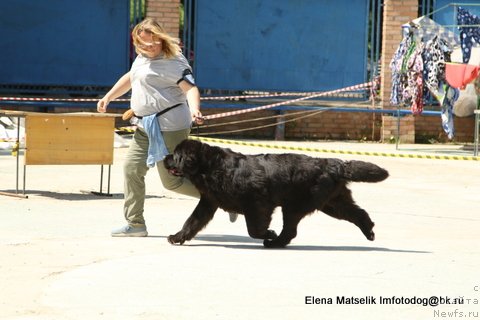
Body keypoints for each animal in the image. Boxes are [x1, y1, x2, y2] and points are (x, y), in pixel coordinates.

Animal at [163, 139, 388, 248]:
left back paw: (273, 242)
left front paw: (268, 233)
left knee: (290, 231)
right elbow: (192, 222)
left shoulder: (257, 204)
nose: (165, 157)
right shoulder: (208, 202)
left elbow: (254, 229)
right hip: (333, 203)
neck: (209, 167)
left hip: (296, 205)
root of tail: (332, 163)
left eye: (176, 155)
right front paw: (177, 237)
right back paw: (370, 232)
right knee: (358, 213)